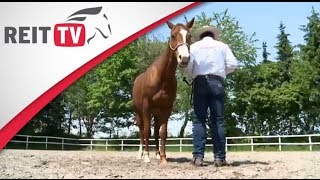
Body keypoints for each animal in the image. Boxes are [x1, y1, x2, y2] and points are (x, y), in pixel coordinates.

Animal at [131, 18, 194, 165]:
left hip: (156, 113)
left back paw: (157, 154)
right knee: (141, 131)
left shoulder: (167, 108)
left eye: (189, 36)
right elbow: (146, 132)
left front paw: (164, 158)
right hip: (139, 113)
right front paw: (146, 157)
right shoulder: (146, 107)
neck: (163, 76)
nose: (184, 58)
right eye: (173, 36)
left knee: (155, 131)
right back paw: (140, 154)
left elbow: (163, 133)